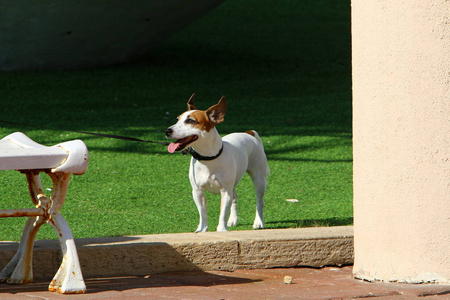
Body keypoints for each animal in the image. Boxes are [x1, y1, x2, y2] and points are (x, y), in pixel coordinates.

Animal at [166, 94, 268, 232]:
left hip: (259, 179)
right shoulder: (197, 191)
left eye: (191, 121)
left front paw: (221, 230)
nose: (167, 131)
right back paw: (233, 220)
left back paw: (258, 222)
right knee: (235, 197)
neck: (208, 159)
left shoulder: (225, 192)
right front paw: (202, 229)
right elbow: (203, 213)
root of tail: (248, 133)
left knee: (259, 201)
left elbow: (223, 213)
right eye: (177, 119)